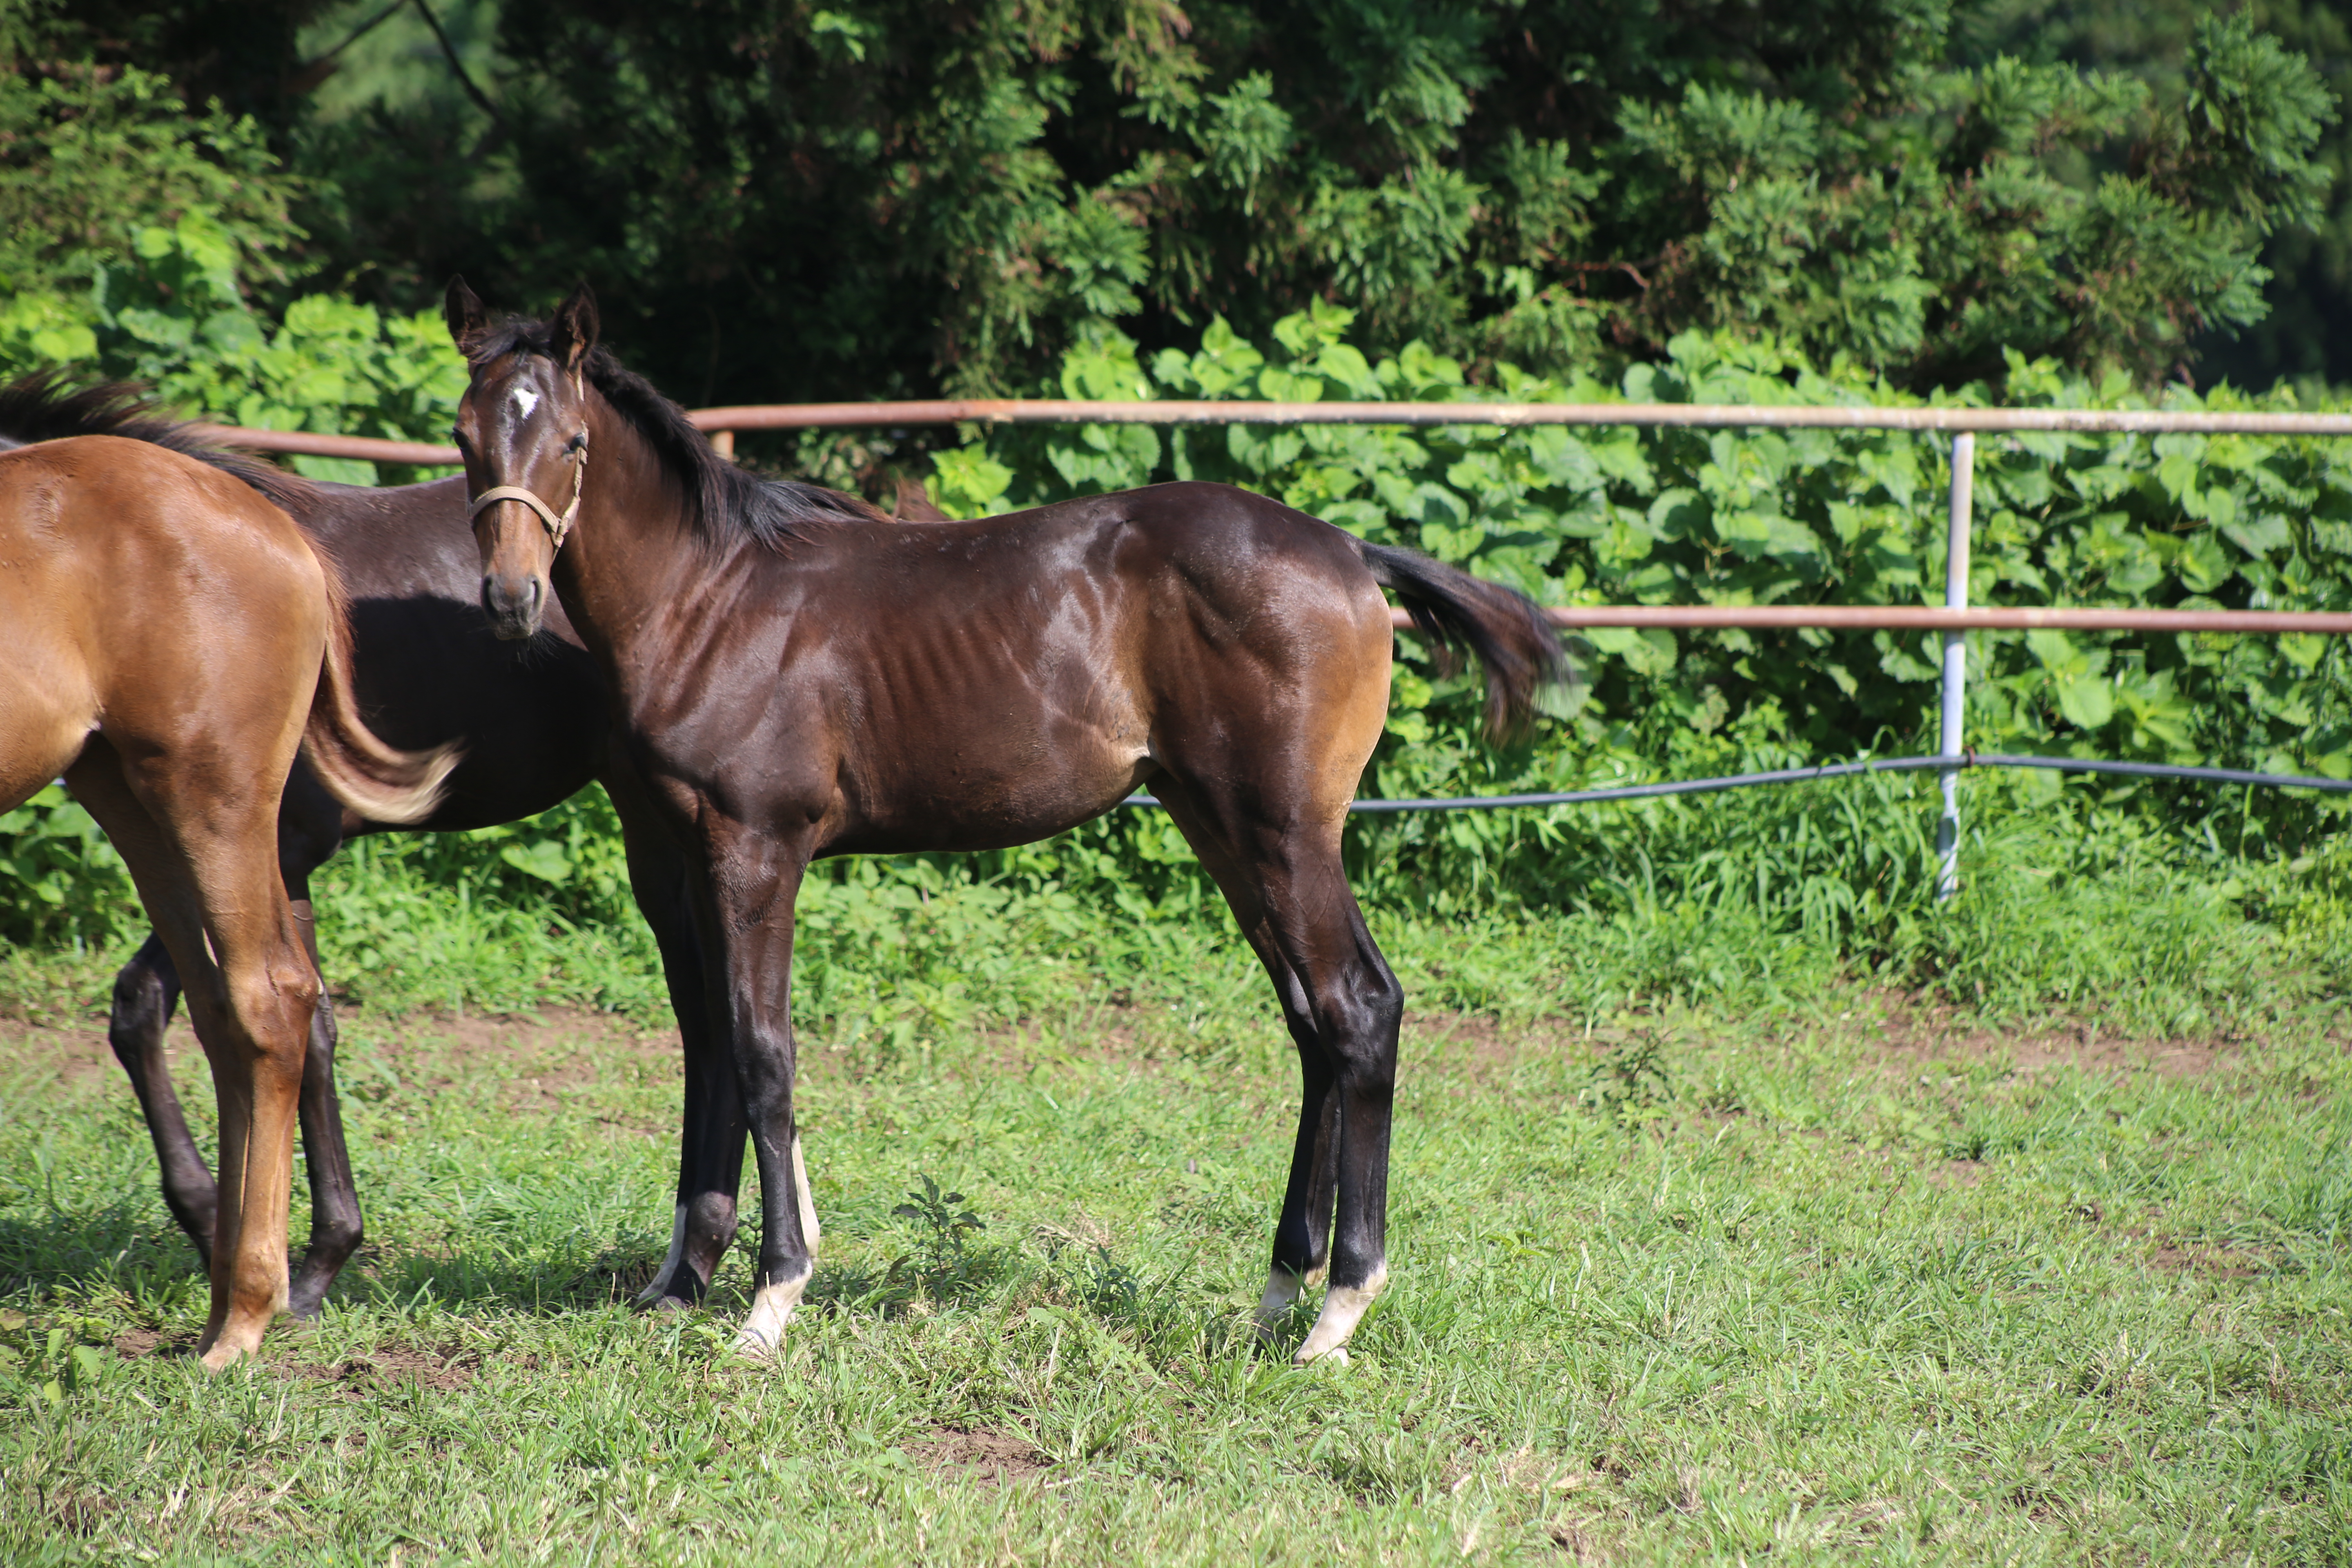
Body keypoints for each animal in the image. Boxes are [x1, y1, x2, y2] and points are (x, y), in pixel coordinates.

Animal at [0, 383, 743, 1326]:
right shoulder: (262, 862)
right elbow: (242, 1015)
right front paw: (264, 1241)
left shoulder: (274, 845)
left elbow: (237, 1014)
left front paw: (277, 1249)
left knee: (710, 1017)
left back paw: (697, 1258)